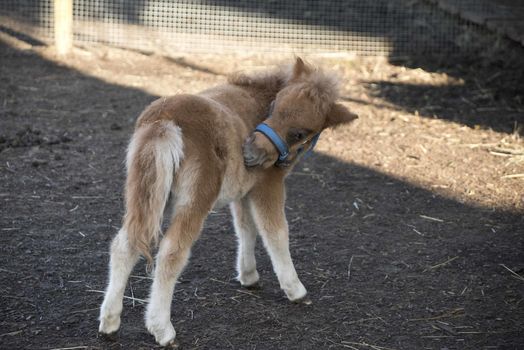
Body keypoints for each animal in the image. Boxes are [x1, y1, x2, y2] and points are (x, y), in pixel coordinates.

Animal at [98, 58, 358, 346]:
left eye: (300, 132)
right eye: (274, 107)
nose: (251, 152)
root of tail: (164, 121)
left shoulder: (243, 191)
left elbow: (245, 228)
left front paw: (249, 276)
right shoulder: (267, 185)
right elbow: (276, 232)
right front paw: (295, 289)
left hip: (145, 192)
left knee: (125, 244)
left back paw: (109, 323)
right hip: (195, 198)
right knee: (171, 251)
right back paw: (162, 329)